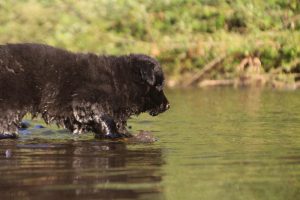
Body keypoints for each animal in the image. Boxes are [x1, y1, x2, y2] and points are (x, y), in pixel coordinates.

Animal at [0, 43, 169, 139]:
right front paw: (112, 133)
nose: (168, 106)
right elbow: (103, 118)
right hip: (10, 104)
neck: (117, 80)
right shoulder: (84, 100)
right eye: (159, 85)